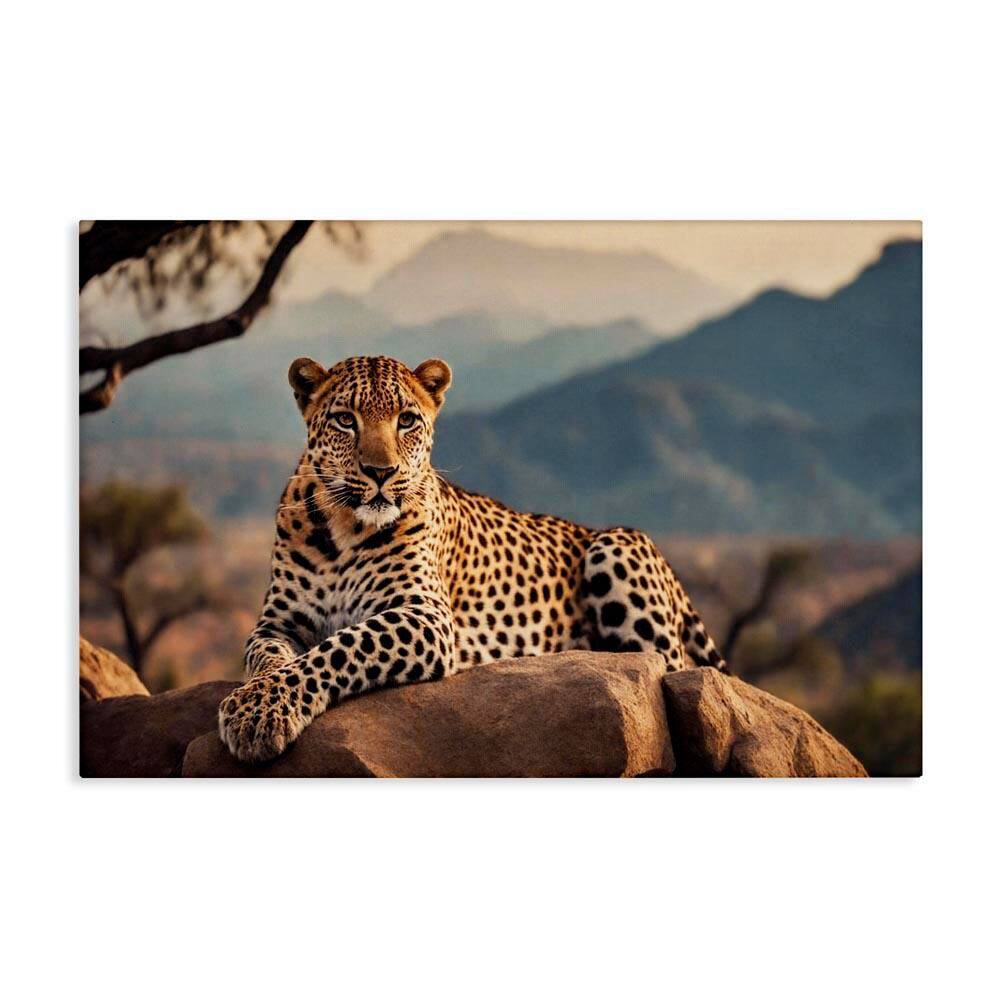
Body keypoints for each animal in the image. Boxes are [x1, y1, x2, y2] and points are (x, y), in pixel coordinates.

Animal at [219, 354, 727, 763]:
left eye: (407, 420)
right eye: (345, 420)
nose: (381, 472)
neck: (345, 527)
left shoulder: (424, 616)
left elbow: (341, 647)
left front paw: (257, 712)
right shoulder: (277, 621)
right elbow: (270, 657)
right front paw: (256, 700)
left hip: (617, 549)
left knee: (669, 666)